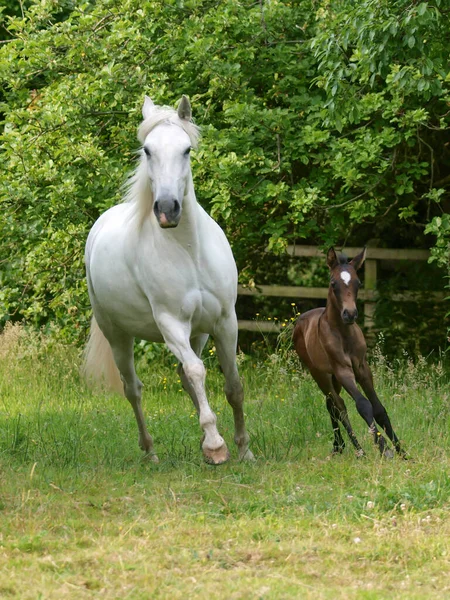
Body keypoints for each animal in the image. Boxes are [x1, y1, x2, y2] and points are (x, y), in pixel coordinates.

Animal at [83, 95, 253, 464]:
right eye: (147, 150)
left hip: (198, 333)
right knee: (134, 389)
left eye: (186, 149)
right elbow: (197, 371)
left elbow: (233, 384)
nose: (167, 209)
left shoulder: (225, 321)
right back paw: (150, 452)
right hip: (118, 335)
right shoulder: (171, 323)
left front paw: (243, 448)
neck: (189, 251)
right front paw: (217, 446)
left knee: (184, 375)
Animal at [292, 246, 404, 458]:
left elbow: (378, 408)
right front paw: (384, 448)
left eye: (358, 283)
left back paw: (339, 445)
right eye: (333, 283)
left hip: (333, 378)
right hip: (320, 374)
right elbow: (363, 405)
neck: (344, 335)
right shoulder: (343, 370)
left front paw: (403, 452)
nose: (350, 314)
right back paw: (358, 450)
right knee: (339, 406)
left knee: (331, 405)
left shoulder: (362, 368)